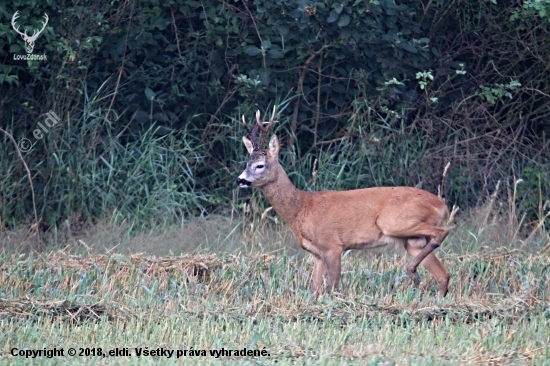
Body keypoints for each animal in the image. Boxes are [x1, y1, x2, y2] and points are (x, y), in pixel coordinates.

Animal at [237, 107, 452, 296]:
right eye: (246, 163)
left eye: (260, 165)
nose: (240, 180)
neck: (302, 208)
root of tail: (443, 206)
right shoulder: (317, 254)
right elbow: (314, 289)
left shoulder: (333, 245)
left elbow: (334, 287)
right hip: (412, 240)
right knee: (444, 274)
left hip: (393, 221)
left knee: (443, 232)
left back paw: (412, 271)